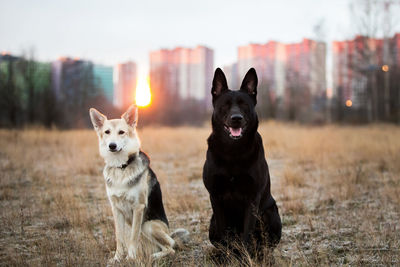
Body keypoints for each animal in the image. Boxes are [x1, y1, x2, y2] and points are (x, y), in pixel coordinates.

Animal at [203, 68, 282, 254]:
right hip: (212, 222)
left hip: (271, 213)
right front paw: (226, 256)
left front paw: (246, 256)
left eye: (244, 104)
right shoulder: (215, 197)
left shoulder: (252, 198)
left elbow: (247, 232)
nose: (236, 118)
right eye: (225, 105)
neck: (233, 151)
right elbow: (223, 233)